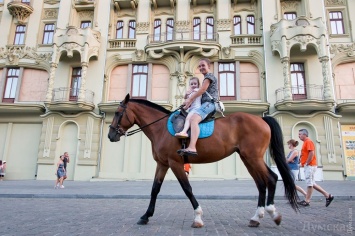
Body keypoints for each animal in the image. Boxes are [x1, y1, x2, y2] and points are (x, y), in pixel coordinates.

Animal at [109, 94, 300, 229]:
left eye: (118, 113)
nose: (110, 135)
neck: (161, 128)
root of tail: (261, 119)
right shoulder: (162, 164)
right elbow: (155, 189)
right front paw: (146, 216)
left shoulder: (175, 163)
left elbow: (187, 189)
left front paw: (198, 217)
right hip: (248, 158)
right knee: (261, 183)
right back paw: (256, 217)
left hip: (253, 158)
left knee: (271, 179)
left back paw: (273, 213)